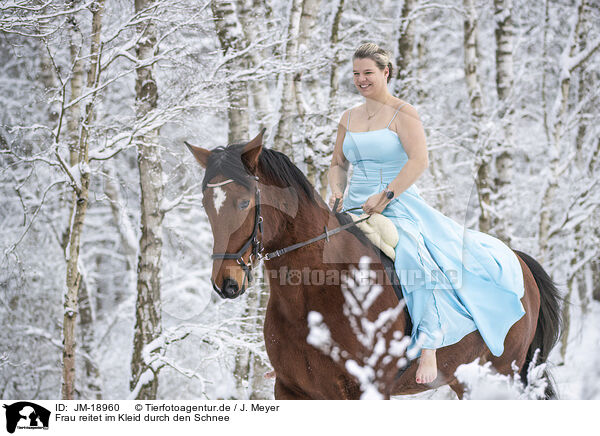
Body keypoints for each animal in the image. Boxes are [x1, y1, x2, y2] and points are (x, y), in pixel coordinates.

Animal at [186, 129, 564, 398]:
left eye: (244, 202)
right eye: (206, 203)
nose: (226, 284)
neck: (314, 292)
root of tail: (519, 261)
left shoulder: (366, 390)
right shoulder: (292, 390)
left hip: (502, 376)